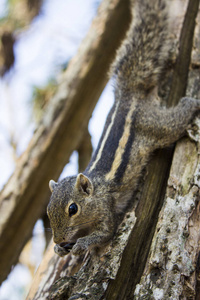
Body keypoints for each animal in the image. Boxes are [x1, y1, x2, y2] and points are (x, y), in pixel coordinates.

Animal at [47, 0, 200, 258]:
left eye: (73, 208)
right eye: (48, 211)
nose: (58, 239)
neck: (96, 191)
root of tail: (127, 96)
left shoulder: (106, 210)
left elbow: (104, 233)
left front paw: (82, 244)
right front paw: (60, 249)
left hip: (155, 125)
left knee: (176, 119)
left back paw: (192, 102)